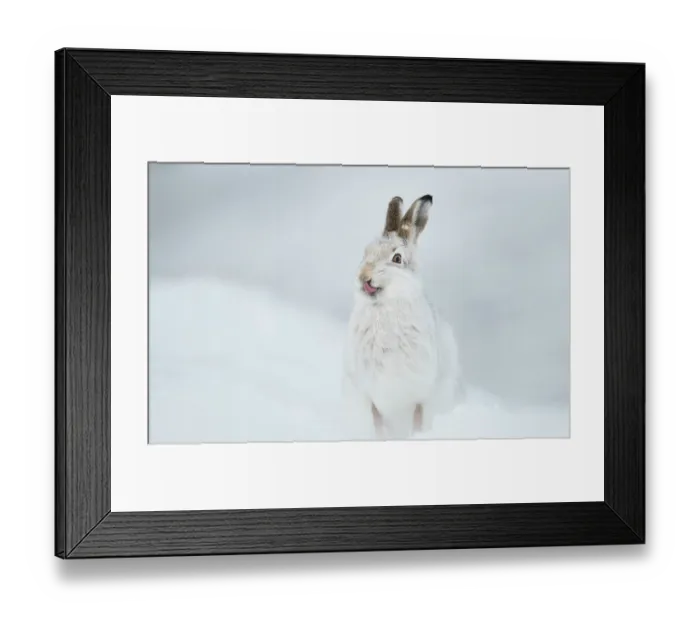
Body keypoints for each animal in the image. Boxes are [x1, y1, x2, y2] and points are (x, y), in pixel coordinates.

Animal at [343, 195, 463, 440]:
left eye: (397, 258)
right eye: (365, 252)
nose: (363, 276)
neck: (385, 307)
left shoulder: (419, 395)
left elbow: (417, 418)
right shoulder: (371, 396)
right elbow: (377, 422)